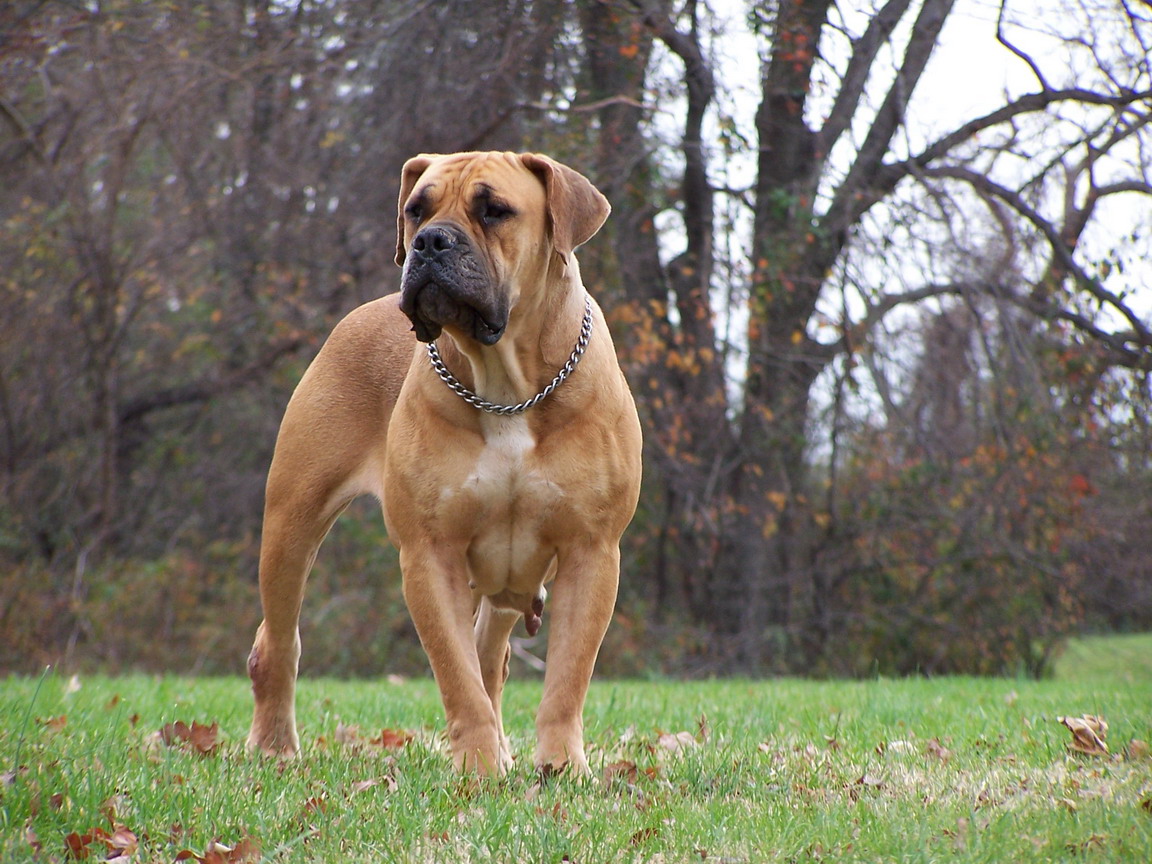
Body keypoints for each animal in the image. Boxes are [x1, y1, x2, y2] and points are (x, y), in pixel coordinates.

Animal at [247, 150, 645, 778]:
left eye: (495, 210)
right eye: (417, 208)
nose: (430, 242)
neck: (507, 385)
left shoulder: (592, 552)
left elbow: (565, 678)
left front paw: (561, 768)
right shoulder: (429, 554)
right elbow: (457, 675)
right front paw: (478, 768)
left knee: (491, 657)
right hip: (293, 522)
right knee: (279, 640)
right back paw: (274, 746)